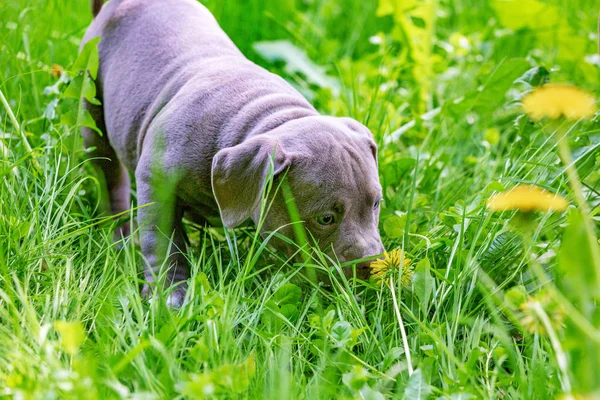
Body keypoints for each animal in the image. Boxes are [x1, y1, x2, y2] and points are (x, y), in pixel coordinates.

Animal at [82, 0, 384, 306]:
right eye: (326, 219)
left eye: (376, 204)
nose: (371, 264)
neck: (265, 118)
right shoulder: (157, 184)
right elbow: (164, 243)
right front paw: (170, 294)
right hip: (92, 108)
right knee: (110, 174)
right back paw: (119, 232)